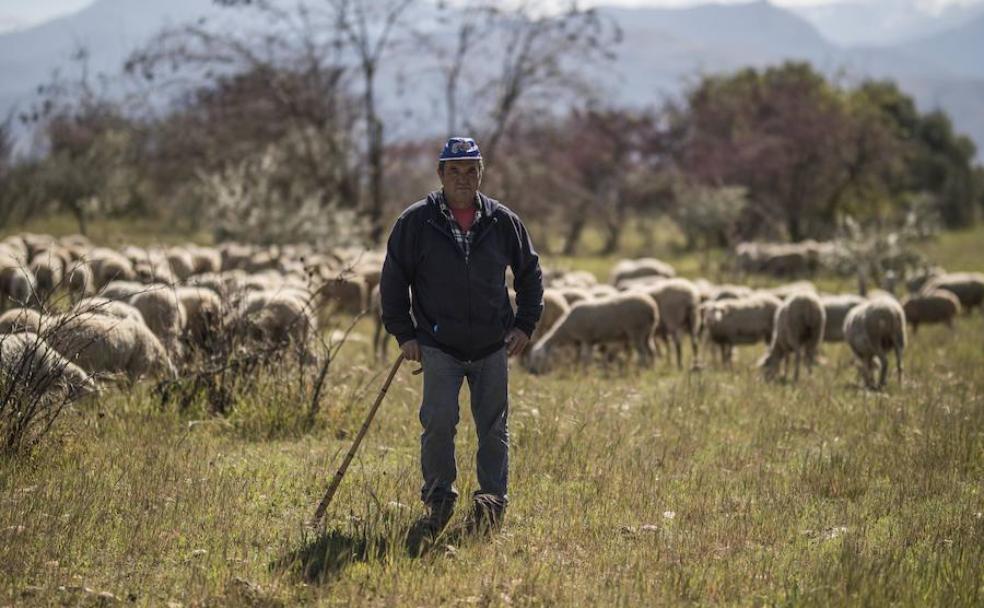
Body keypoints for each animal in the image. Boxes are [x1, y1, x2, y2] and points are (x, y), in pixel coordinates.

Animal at [528, 292, 656, 372]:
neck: (566, 329)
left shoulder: (586, 338)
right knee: (651, 351)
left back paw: (641, 369)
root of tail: (652, 308)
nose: (533, 372)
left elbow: (585, 358)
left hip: (636, 331)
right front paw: (577, 369)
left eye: (538, 358)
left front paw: (585, 372)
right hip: (647, 333)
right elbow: (580, 357)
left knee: (642, 353)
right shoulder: (583, 341)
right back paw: (651, 368)